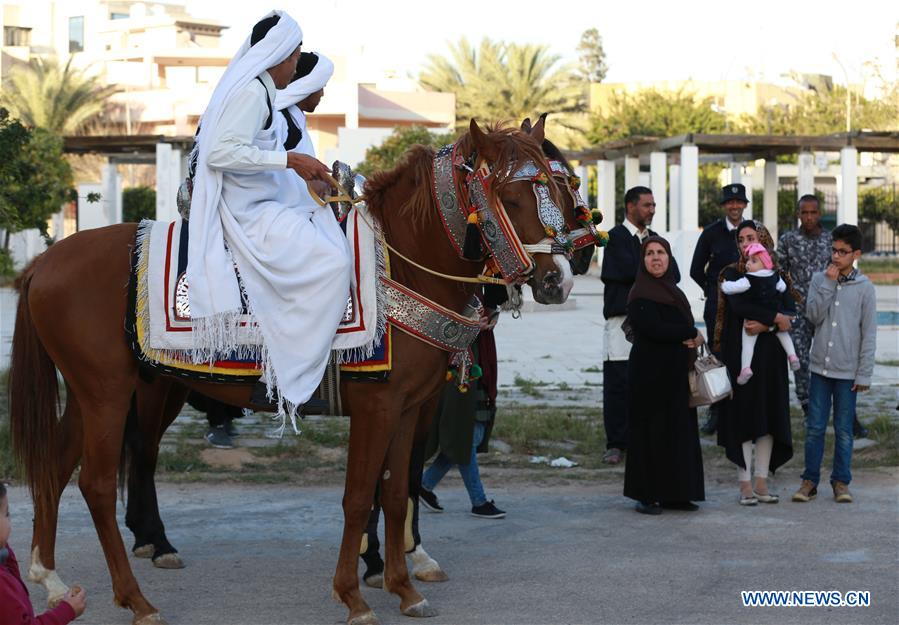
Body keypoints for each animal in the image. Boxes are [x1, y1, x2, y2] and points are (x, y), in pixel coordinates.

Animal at [8, 119, 568, 620]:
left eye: (560, 191)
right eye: (510, 197)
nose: (558, 279)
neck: (400, 267)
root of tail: (44, 263)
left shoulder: (410, 409)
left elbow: (393, 492)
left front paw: (403, 589)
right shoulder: (378, 407)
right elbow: (359, 496)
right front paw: (354, 596)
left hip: (92, 394)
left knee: (56, 466)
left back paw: (51, 580)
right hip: (108, 394)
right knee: (98, 485)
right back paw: (136, 600)